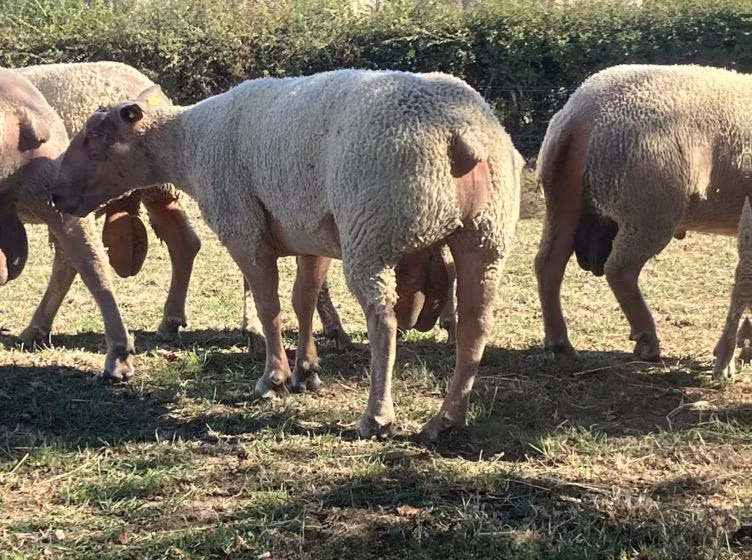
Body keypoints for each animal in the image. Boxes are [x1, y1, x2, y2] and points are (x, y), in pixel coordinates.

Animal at [49, 69, 522, 441]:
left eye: (93, 137)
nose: (55, 195)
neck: (188, 144)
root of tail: (460, 135)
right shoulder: (313, 232)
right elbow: (304, 299)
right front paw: (306, 371)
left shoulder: (243, 227)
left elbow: (269, 305)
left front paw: (273, 377)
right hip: (486, 237)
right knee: (475, 325)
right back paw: (447, 419)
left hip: (372, 232)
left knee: (383, 322)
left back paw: (377, 418)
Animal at [535, 64, 750, 364]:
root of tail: (580, 115)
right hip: (649, 206)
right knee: (619, 269)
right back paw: (648, 343)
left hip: (563, 197)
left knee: (549, 262)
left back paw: (560, 343)